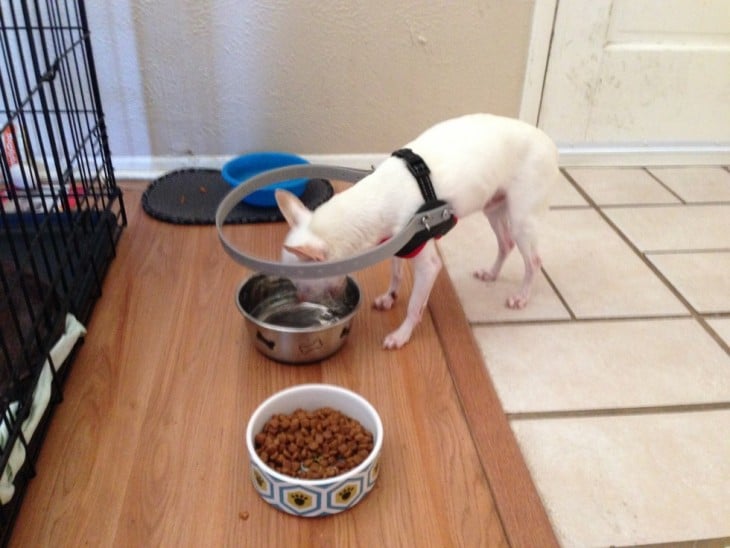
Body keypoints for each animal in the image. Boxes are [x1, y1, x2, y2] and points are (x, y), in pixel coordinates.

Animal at [274, 113, 556, 348]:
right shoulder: (397, 245)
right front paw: (390, 297)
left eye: (302, 285)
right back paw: (491, 273)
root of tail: (548, 142)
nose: (298, 300)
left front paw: (401, 335)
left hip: (521, 218)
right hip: (494, 207)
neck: (376, 197)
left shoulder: (428, 264)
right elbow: (396, 274)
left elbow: (414, 306)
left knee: (533, 260)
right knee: (505, 243)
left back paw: (522, 296)